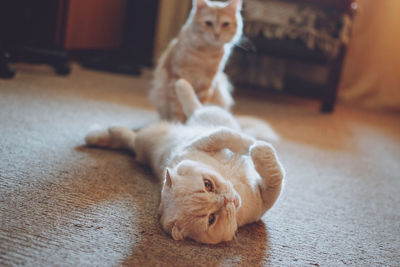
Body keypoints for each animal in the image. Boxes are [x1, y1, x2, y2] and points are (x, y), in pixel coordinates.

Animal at [84, 79, 284, 245]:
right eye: (211, 218)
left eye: (207, 184)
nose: (227, 200)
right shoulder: (265, 199)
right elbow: (276, 176)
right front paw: (258, 147)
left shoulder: (201, 142)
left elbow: (227, 135)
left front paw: (251, 144)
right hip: (145, 140)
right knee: (131, 137)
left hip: (201, 119)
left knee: (197, 109)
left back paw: (181, 84)